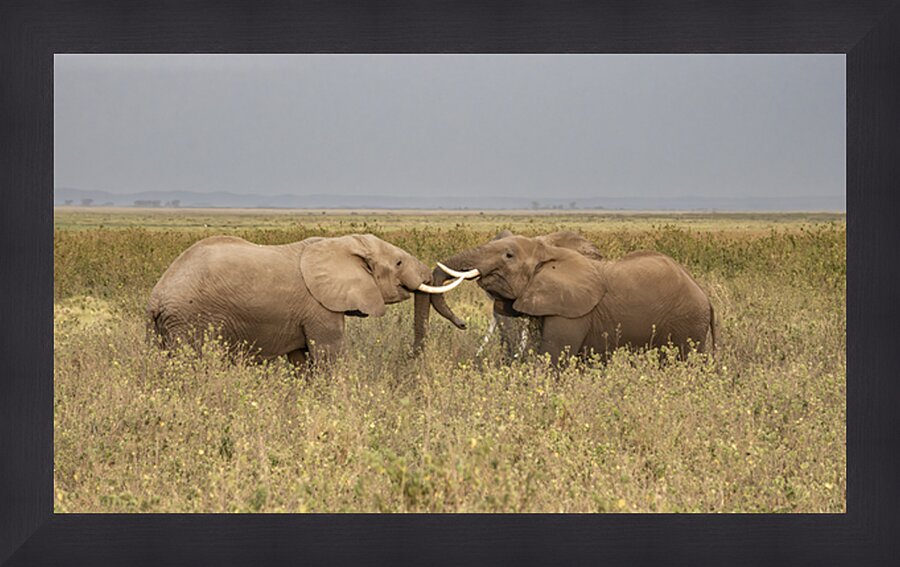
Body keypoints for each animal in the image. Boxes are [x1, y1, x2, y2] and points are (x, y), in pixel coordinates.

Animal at [147, 234, 463, 365]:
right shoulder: (318, 307)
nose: (463, 325)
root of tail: (157, 298)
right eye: (398, 263)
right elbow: (329, 356)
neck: (339, 242)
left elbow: (302, 359)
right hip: (189, 320)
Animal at [415, 234, 716, 364]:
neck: (548, 252)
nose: (462, 323)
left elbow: (553, 354)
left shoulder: (572, 311)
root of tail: (706, 297)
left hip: (688, 321)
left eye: (508, 255)